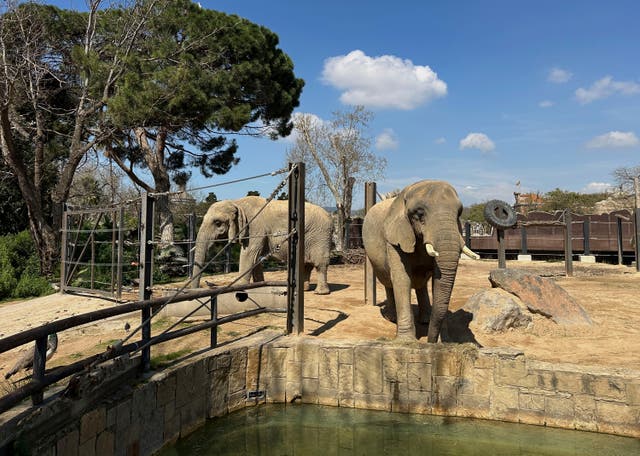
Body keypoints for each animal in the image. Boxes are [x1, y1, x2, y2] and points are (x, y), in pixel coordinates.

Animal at [192, 196, 332, 294]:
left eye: (217, 223)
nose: (199, 288)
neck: (237, 202)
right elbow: (255, 258)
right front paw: (259, 285)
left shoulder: (255, 227)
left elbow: (249, 254)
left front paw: (239, 287)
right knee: (305, 264)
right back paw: (304, 289)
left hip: (320, 236)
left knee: (319, 263)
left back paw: (320, 293)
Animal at [362, 180, 478, 342]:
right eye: (419, 214)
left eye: (459, 213)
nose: (430, 342)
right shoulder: (394, 238)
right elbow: (402, 279)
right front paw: (406, 342)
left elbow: (438, 280)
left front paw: (444, 342)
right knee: (388, 281)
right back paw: (392, 318)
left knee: (420, 284)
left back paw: (425, 320)